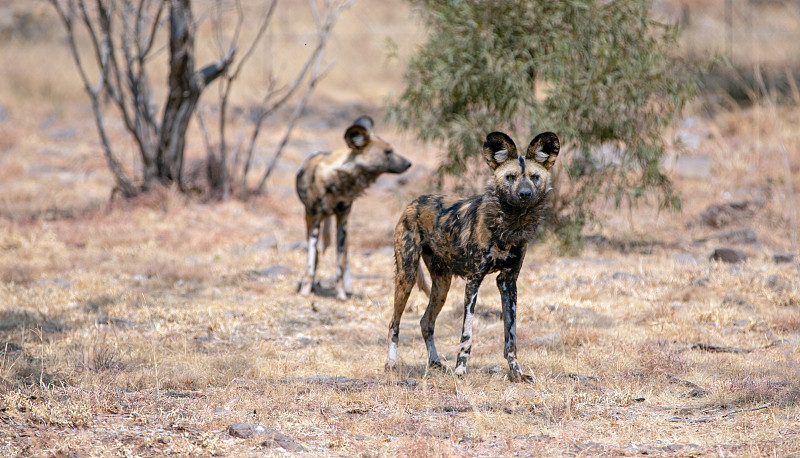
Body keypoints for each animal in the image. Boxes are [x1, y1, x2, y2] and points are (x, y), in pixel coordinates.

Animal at [296, 114, 412, 300]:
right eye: (388, 152)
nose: (409, 163)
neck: (337, 182)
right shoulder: (313, 219)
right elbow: (311, 260)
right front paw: (306, 290)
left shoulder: (342, 221)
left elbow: (339, 263)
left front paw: (341, 294)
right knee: (317, 254)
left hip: (344, 228)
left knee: (345, 257)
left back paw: (348, 287)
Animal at [384, 130, 560, 382]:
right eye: (510, 177)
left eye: (534, 177)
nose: (525, 194)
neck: (509, 225)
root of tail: (414, 202)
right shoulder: (474, 280)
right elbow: (466, 335)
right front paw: (461, 370)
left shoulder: (508, 282)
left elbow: (511, 339)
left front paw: (516, 373)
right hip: (406, 276)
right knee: (394, 323)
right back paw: (390, 363)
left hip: (442, 285)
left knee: (426, 321)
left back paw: (435, 362)